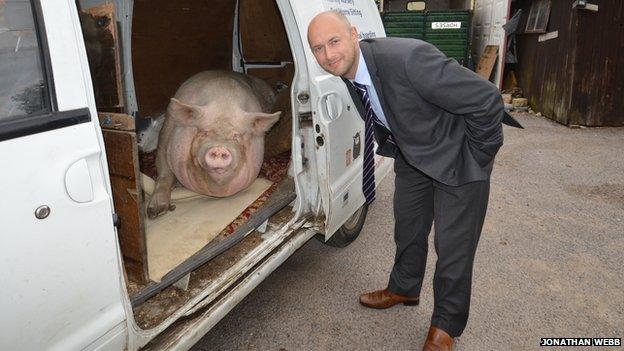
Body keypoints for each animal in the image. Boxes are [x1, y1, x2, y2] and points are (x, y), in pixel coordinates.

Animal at [146, 71, 280, 220]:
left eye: (236, 136)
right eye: (204, 132)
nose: (219, 148)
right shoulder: (164, 141)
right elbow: (164, 173)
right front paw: (156, 212)